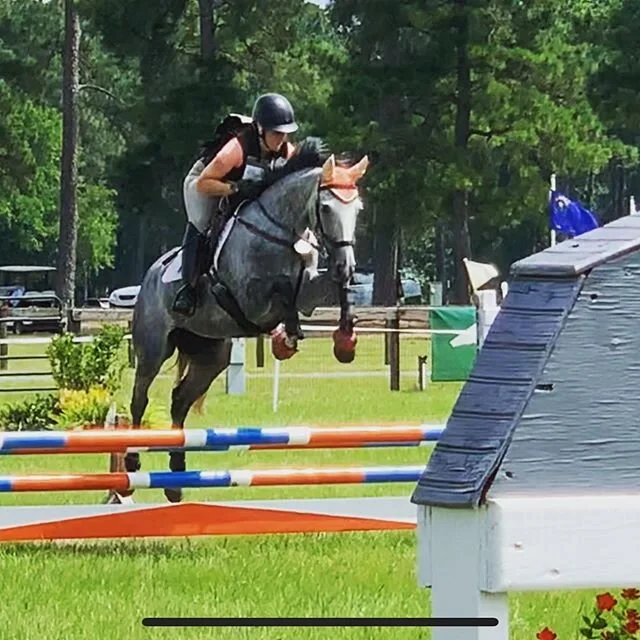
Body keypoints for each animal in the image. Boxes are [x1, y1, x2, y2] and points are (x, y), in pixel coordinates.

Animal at [119, 142, 369, 502]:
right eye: (325, 207)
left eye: (357, 209)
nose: (346, 264)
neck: (281, 233)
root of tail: (150, 275)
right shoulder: (250, 298)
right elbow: (281, 293)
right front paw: (287, 338)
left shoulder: (309, 290)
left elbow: (328, 290)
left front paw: (345, 340)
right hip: (153, 347)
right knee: (140, 397)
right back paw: (132, 461)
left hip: (213, 356)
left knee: (180, 400)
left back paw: (176, 480)